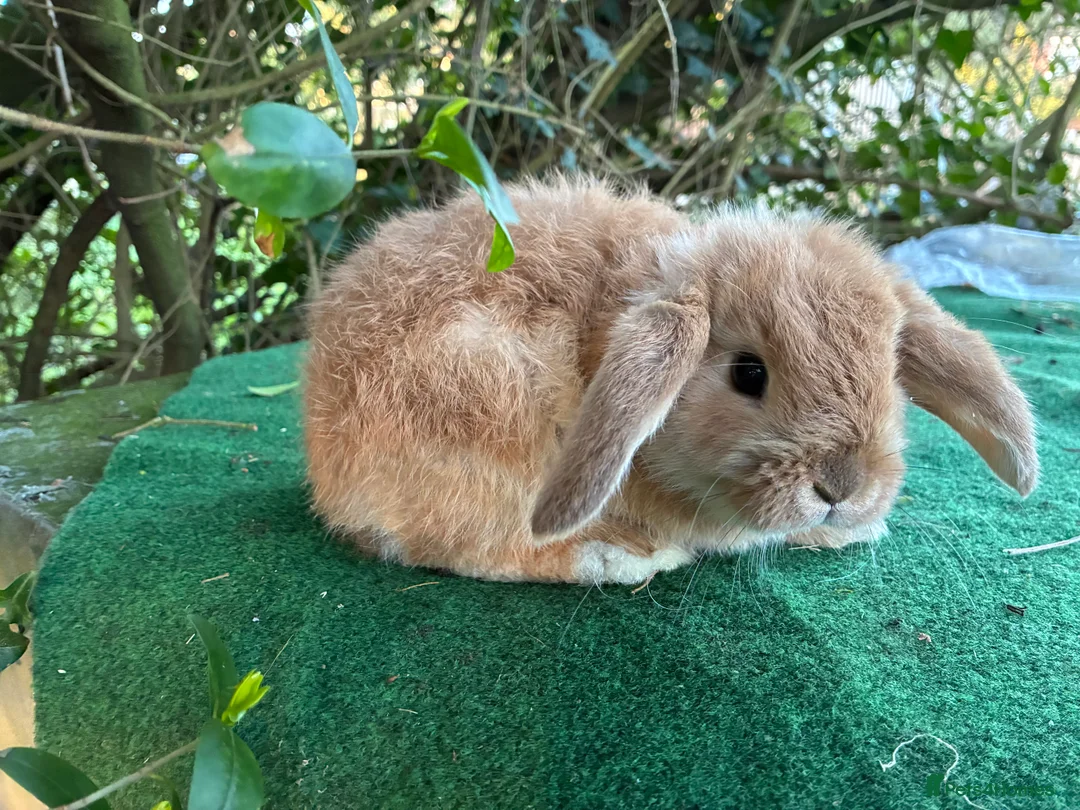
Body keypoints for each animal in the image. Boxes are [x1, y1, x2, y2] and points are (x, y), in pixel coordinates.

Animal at [303, 175, 1037, 585]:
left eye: (889, 374)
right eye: (748, 373)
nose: (843, 487)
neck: (604, 332)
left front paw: (853, 528)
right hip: (489, 411)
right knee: (475, 547)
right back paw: (621, 557)